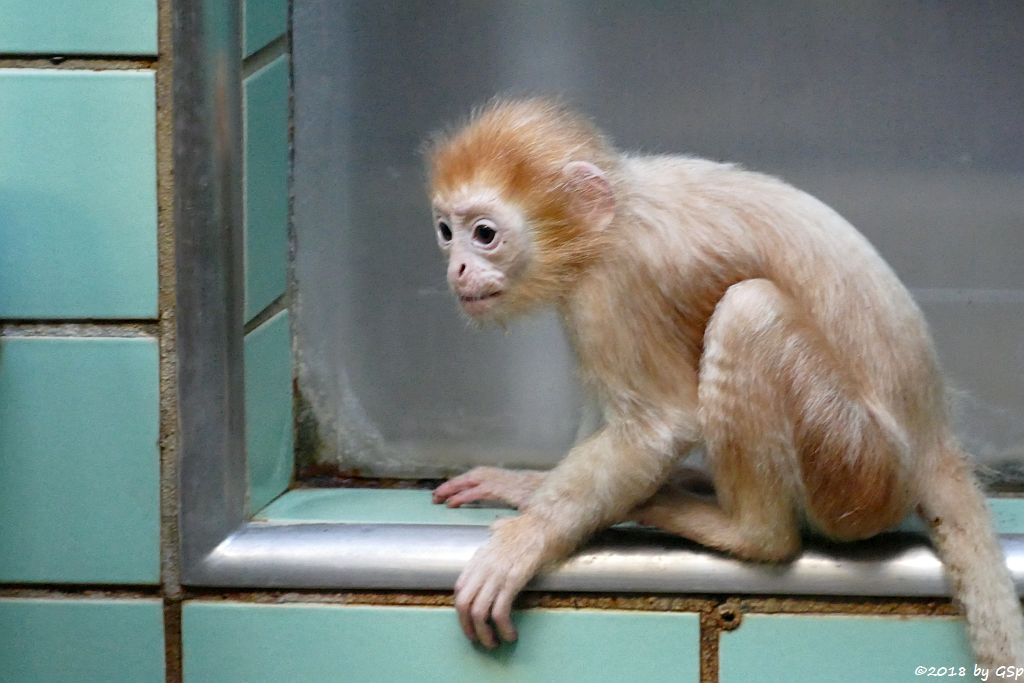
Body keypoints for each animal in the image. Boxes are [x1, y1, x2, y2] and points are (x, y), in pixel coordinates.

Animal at [421, 97, 1015, 667]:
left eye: (485, 234)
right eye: (446, 232)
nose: (456, 269)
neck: (616, 217)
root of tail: (931, 442)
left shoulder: (614, 287)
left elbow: (657, 427)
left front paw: (527, 539)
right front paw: (526, 486)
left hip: (856, 468)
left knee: (748, 311)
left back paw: (740, 530)